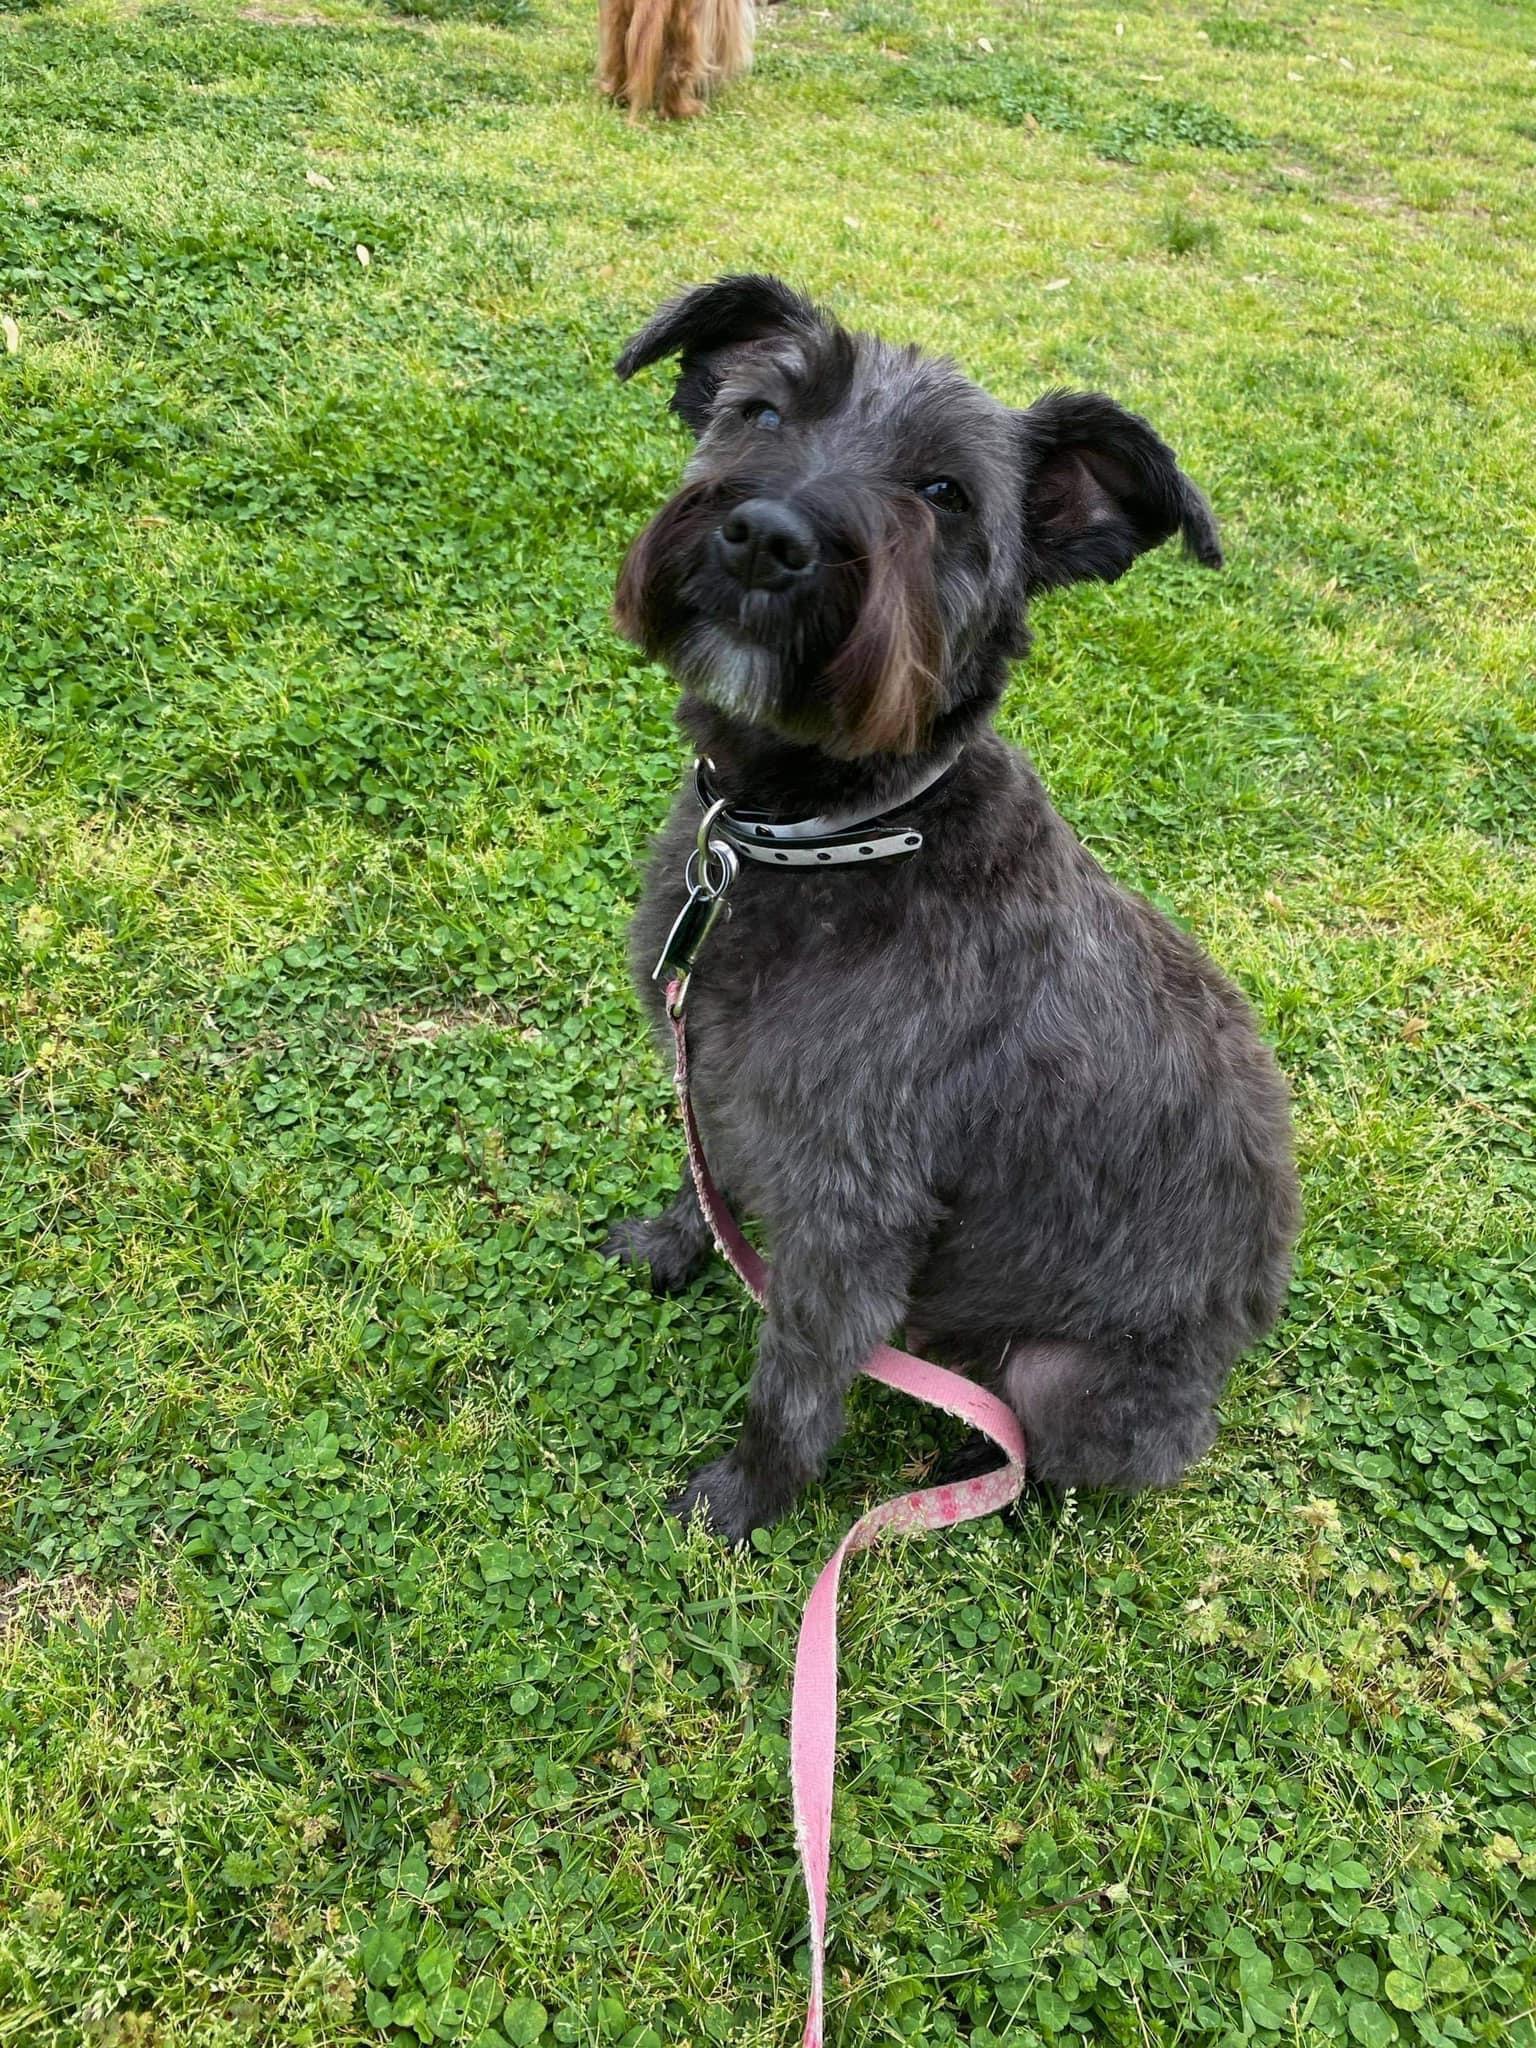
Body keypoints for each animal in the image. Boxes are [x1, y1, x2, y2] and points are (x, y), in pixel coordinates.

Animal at [598, 0, 753, 119]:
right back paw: (683, 109)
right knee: (677, 71)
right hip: (685, 23)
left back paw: (619, 94)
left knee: (619, 52)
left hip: (621, 13)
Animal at [602, 275, 1301, 1544]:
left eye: (944, 494)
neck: (837, 835)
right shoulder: (710, 1072)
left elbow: (795, 1375)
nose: (766, 535)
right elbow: (701, 1169)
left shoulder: (852, 1209)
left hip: (1063, 1378)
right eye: (761, 410)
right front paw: (673, 1247)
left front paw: (743, 1497)